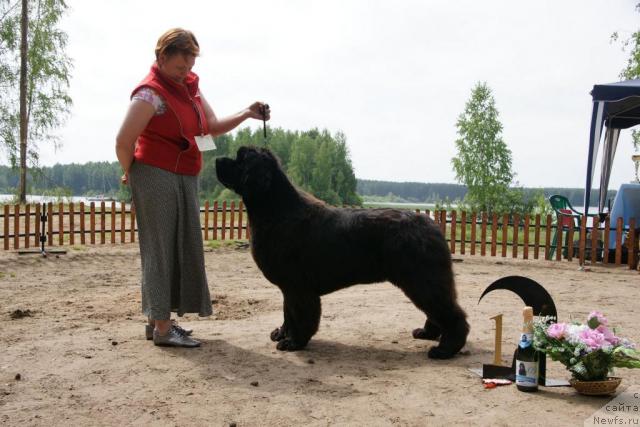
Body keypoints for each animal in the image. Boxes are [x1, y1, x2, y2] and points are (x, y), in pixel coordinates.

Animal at [216, 147, 470, 362]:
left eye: (240, 159)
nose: (217, 159)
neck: (276, 210)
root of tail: (432, 225)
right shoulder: (288, 288)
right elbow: (287, 313)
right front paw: (281, 334)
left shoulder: (298, 287)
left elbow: (300, 315)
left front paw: (293, 343)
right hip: (422, 281)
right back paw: (427, 333)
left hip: (422, 279)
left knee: (452, 314)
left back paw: (444, 349)